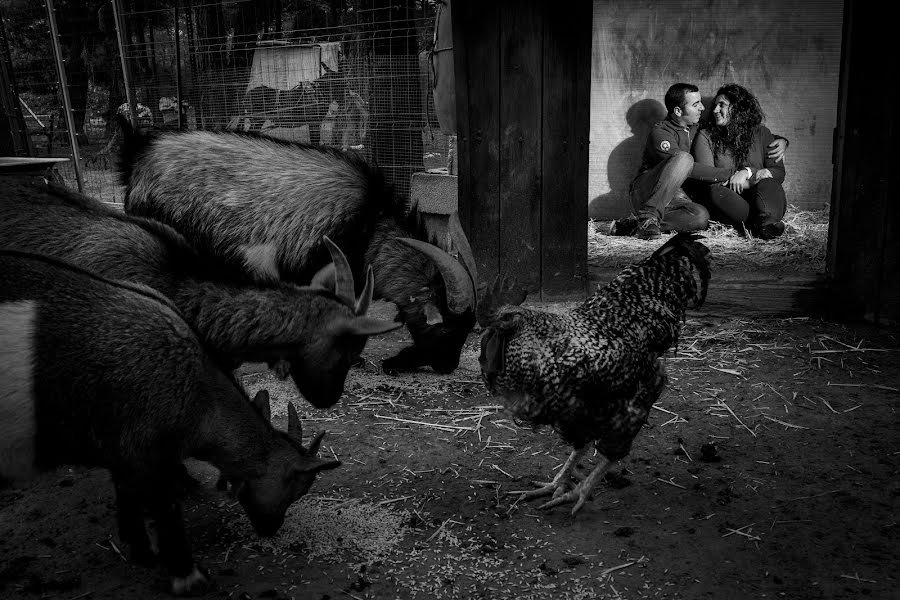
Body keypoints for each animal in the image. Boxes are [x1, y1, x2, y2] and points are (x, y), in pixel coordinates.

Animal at [0, 248, 342, 596]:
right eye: (297, 488)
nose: (271, 528)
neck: (200, 398)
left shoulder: (123, 453)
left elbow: (126, 494)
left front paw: (140, 549)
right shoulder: (147, 452)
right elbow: (167, 509)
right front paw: (188, 577)